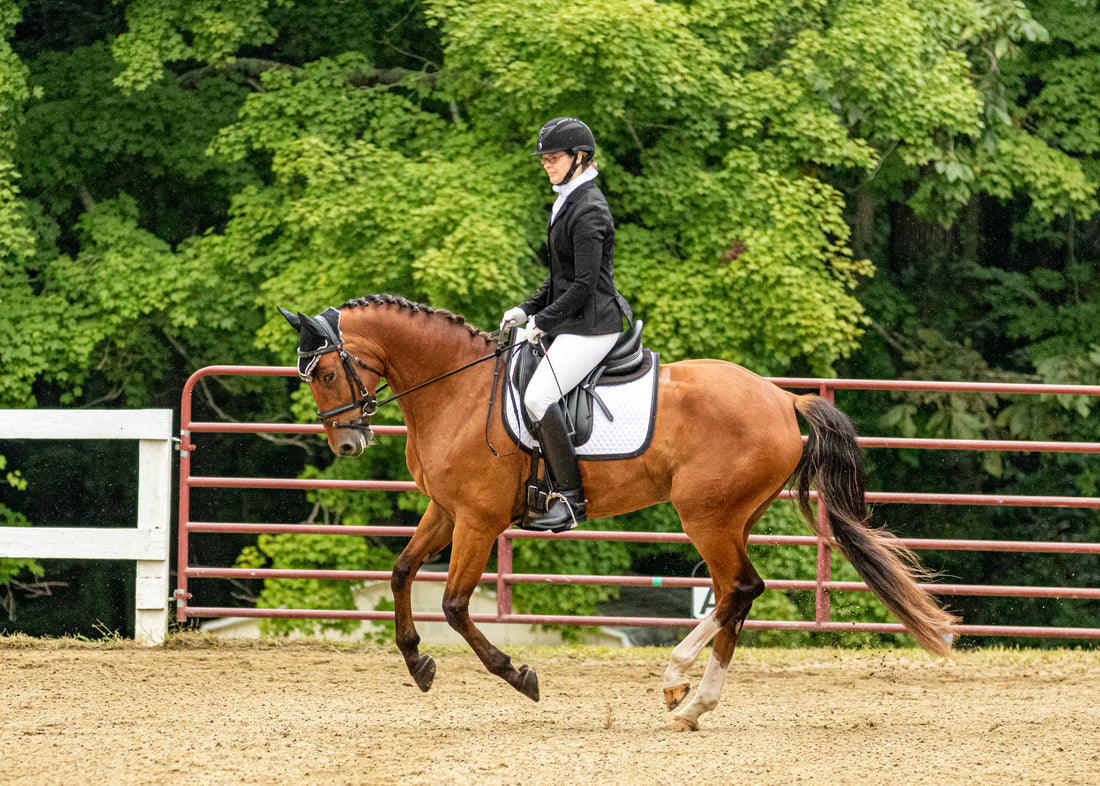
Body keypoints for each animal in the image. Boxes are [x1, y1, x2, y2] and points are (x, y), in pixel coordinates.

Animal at [279, 294, 959, 729]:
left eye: (327, 373)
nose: (347, 444)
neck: (457, 389)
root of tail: (780, 398)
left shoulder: (477, 519)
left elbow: (453, 604)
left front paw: (517, 675)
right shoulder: (446, 510)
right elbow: (400, 573)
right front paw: (418, 663)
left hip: (705, 516)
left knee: (740, 587)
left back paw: (691, 695)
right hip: (728, 518)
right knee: (734, 594)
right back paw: (682, 689)